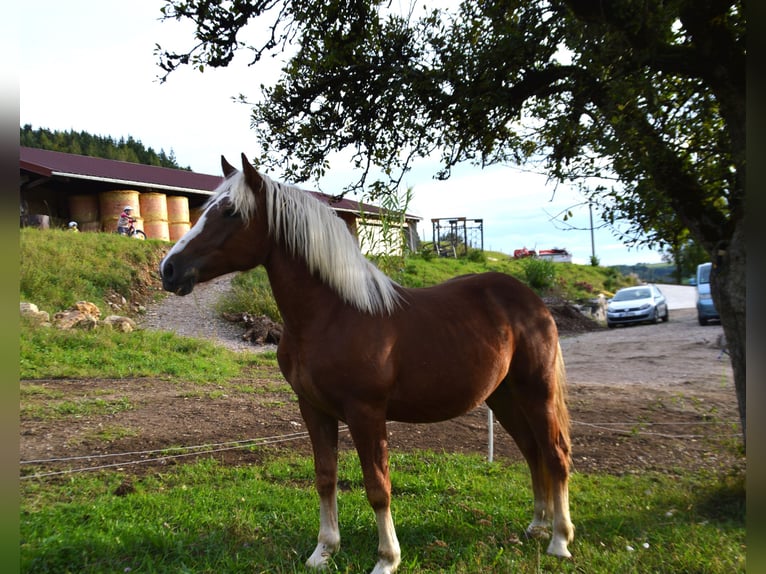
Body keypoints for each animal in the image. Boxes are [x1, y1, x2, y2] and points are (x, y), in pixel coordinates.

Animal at [160, 155, 576, 572]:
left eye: (230, 211)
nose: (169, 269)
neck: (332, 314)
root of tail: (532, 300)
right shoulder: (313, 409)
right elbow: (325, 476)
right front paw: (324, 550)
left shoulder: (366, 413)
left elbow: (378, 486)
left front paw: (387, 559)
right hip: (503, 396)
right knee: (532, 451)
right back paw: (537, 526)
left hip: (537, 392)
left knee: (555, 454)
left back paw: (559, 540)